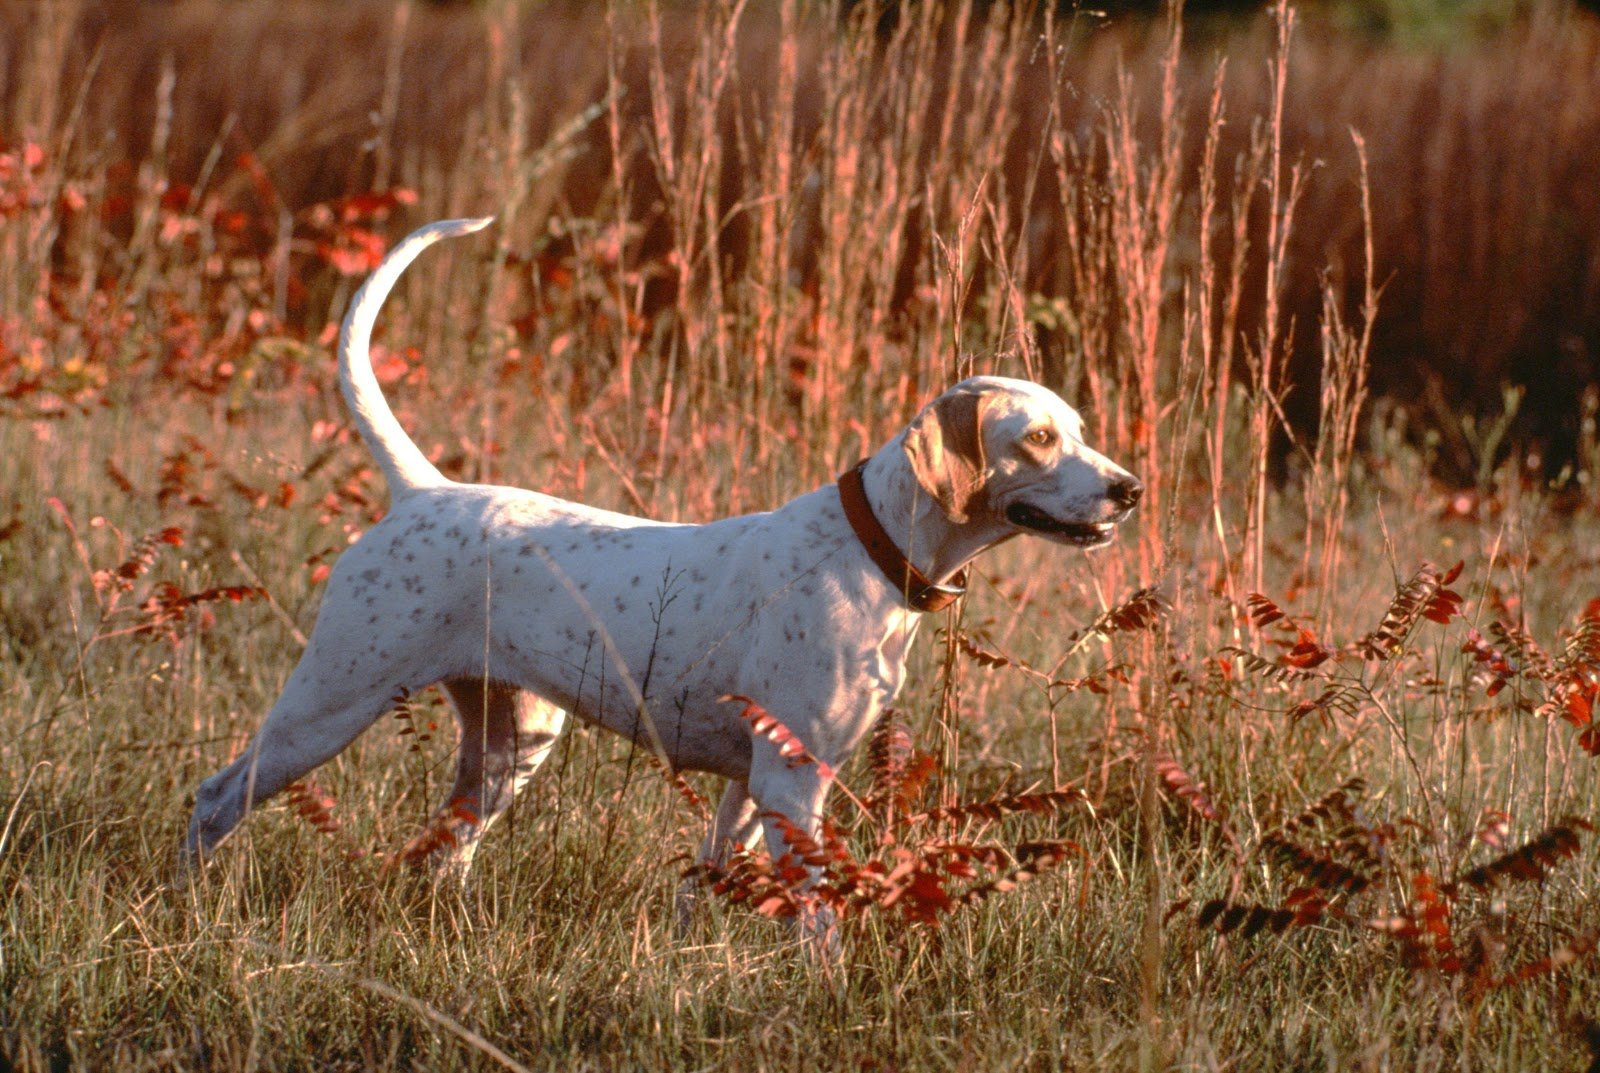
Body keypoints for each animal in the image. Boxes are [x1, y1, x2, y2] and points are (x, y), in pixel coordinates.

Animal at [184, 214, 1139, 927]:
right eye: (1038, 438)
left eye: (1080, 430)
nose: (1128, 490)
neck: (867, 548)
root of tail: (425, 489)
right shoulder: (793, 782)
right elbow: (817, 913)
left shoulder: (755, 783)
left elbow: (707, 881)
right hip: (329, 704)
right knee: (217, 796)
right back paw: (186, 900)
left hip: (512, 744)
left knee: (444, 847)